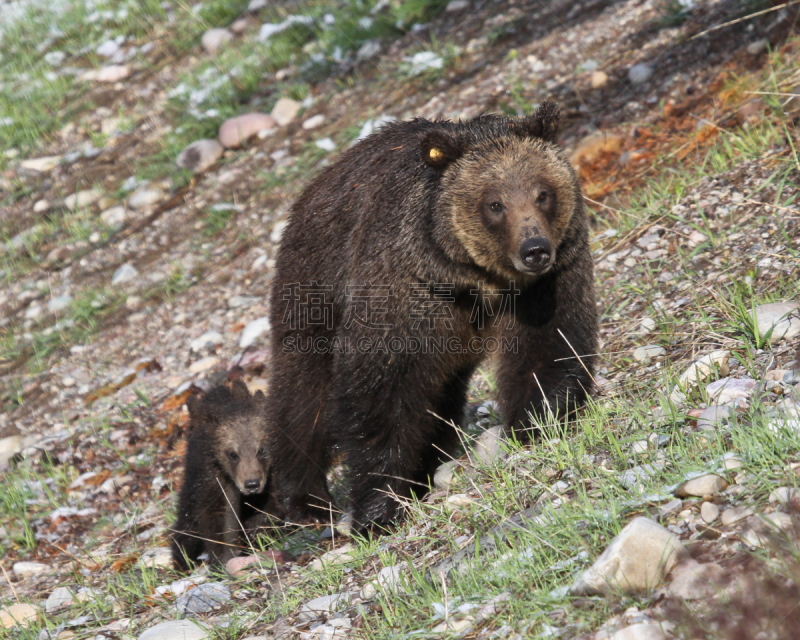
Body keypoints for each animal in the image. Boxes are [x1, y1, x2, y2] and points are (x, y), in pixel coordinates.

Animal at [268, 102, 592, 536]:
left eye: (543, 193)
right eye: (495, 203)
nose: (534, 249)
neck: (478, 280)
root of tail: (312, 189)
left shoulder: (546, 283)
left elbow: (550, 344)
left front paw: (539, 419)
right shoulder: (406, 290)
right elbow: (382, 391)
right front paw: (378, 507)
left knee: (439, 393)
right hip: (313, 289)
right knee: (304, 393)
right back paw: (304, 500)